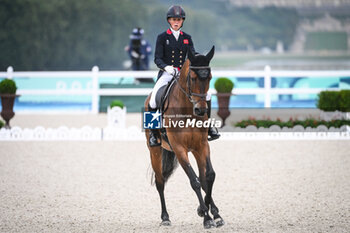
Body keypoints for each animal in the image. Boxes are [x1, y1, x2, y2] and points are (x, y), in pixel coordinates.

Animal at [144, 46, 224, 228]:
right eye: (192, 78)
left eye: (210, 77)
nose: (201, 110)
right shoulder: (180, 150)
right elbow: (194, 181)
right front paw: (206, 217)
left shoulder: (202, 145)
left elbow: (208, 176)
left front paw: (209, 212)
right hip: (155, 151)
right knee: (160, 182)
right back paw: (165, 217)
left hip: (194, 150)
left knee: (203, 178)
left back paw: (214, 212)